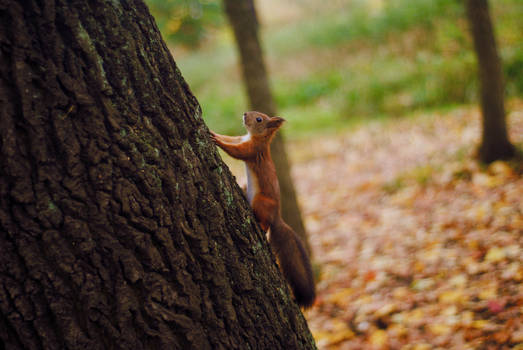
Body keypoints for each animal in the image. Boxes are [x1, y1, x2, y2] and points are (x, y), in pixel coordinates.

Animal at [212, 110, 316, 308]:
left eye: (259, 119)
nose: (245, 113)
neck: (255, 136)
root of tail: (277, 216)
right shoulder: (241, 138)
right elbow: (231, 139)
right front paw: (214, 132)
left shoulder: (253, 150)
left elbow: (237, 151)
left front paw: (216, 141)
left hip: (261, 202)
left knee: (266, 223)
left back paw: (261, 226)